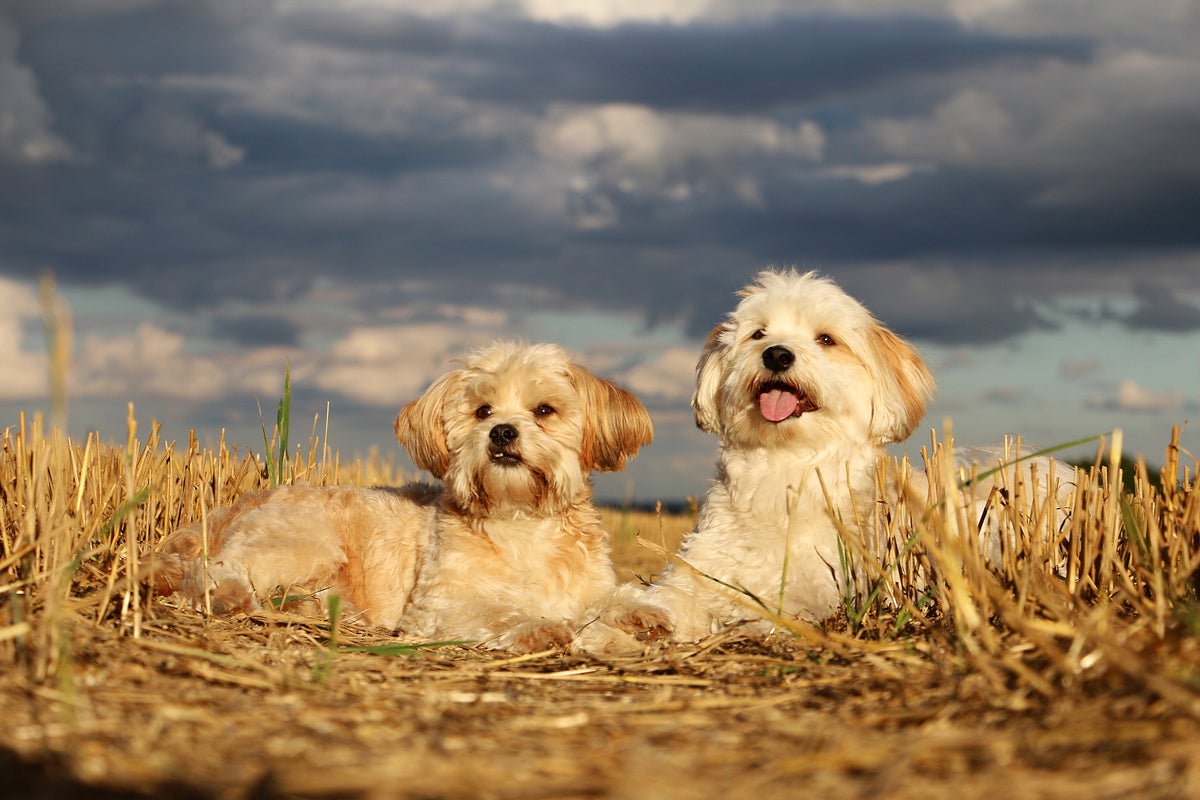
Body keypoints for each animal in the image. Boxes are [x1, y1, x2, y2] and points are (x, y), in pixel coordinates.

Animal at [150, 340, 662, 652]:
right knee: (212, 572)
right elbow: (498, 611)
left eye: (544, 410)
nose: (501, 432)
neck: (522, 519)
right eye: (482, 410)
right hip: (303, 543)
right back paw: (230, 597)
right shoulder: (437, 606)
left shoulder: (587, 585)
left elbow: (609, 598)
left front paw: (640, 612)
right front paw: (538, 626)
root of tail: (227, 510)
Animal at [628, 268, 1080, 642]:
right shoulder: (701, 567)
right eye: (758, 334)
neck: (787, 466)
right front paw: (645, 613)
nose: (777, 353)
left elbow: (784, 609)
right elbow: (676, 594)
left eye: (826, 339)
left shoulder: (828, 588)